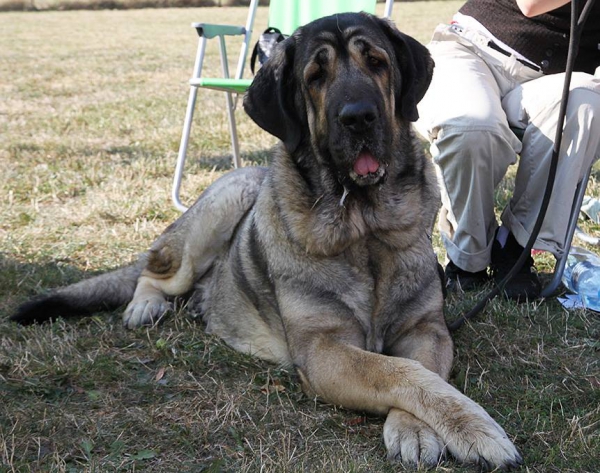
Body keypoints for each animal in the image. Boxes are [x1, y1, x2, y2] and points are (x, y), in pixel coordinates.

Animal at [11, 12, 524, 470]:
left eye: (377, 62)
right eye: (315, 76)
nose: (359, 117)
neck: (363, 228)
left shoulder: (427, 330)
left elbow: (422, 373)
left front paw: (415, 428)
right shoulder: (323, 350)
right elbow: (400, 372)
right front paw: (478, 430)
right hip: (220, 207)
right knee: (154, 272)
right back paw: (145, 305)